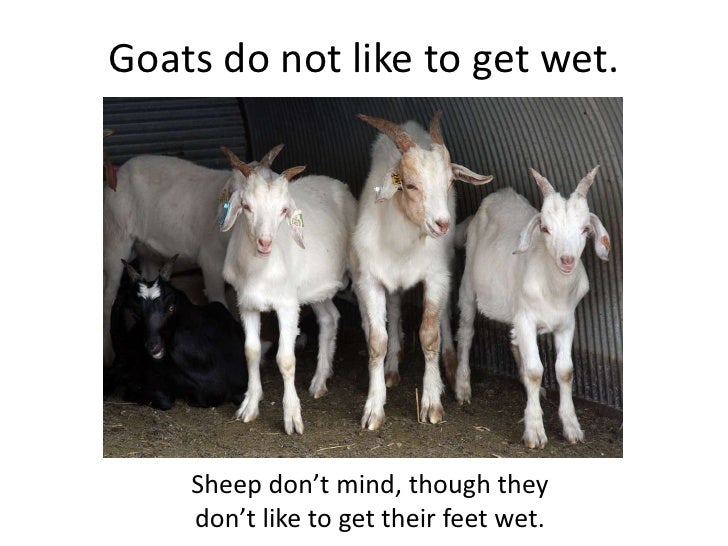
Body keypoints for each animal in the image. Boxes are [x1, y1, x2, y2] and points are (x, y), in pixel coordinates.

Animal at [102, 146, 282, 367]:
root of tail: (120, 171)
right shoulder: (211, 261)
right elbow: (218, 301)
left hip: (147, 252)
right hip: (114, 241)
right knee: (107, 300)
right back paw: (109, 355)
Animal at [219, 147, 358, 435]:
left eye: (283, 210)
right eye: (246, 206)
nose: (264, 242)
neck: (260, 269)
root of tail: (337, 184)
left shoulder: (287, 305)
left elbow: (285, 359)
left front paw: (292, 417)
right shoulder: (246, 303)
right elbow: (251, 352)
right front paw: (249, 406)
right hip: (316, 288)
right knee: (329, 318)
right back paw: (319, 381)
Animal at [352, 111, 493, 430]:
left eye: (450, 183)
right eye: (410, 185)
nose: (442, 224)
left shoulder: (436, 276)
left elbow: (430, 335)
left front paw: (431, 403)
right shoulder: (371, 281)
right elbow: (377, 341)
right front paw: (373, 409)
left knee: (443, 315)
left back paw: (450, 369)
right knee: (394, 309)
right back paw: (392, 368)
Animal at [455, 166, 611, 448]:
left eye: (585, 229)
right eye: (546, 229)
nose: (567, 260)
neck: (554, 289)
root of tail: (498, 194)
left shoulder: (566, 322)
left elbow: (565, 371)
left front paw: (572, 426)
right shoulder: (526, 319)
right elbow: (536, 370)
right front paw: (535, 430)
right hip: (469, 284)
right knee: (466, 332)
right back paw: (462, 387)